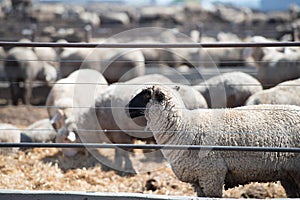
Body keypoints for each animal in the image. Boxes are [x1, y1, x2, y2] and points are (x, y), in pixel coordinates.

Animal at [126, 84, 300, 197]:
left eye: (145, 95)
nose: (127, 109)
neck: (185, 127)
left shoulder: (212, 174)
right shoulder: (198, 180)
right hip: (289, 175)